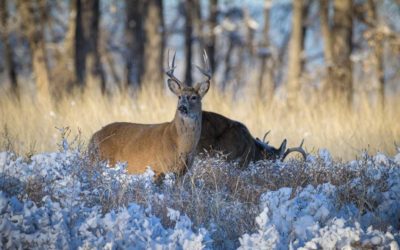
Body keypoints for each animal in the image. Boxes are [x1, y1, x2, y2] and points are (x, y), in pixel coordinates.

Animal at [88, 50, 212, 178]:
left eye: (194, 97)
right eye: (179, 97)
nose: (182, 107)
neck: (180, 144)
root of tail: (92, 139)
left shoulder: (181, 173)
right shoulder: (158, 168)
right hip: (101, 161)